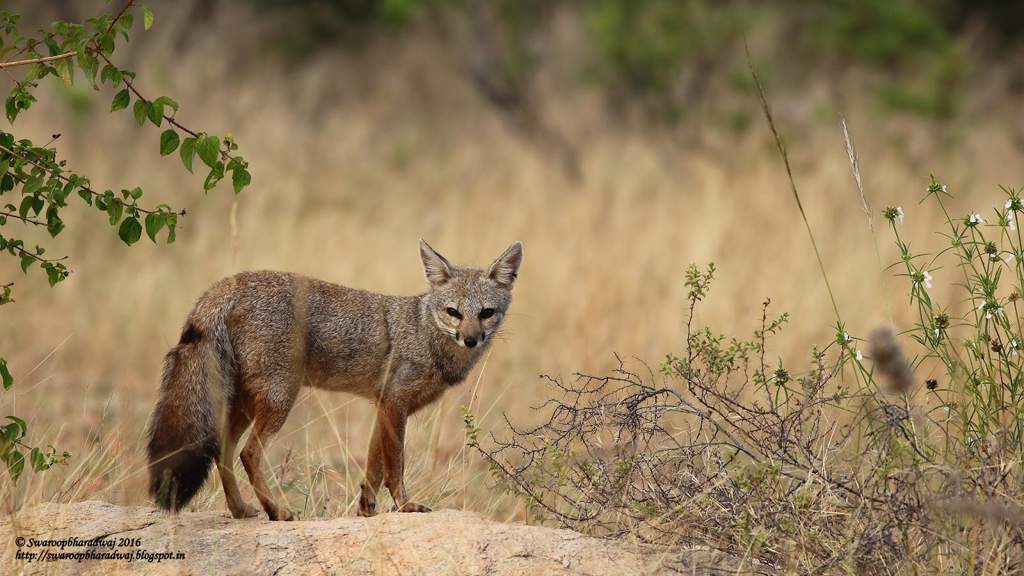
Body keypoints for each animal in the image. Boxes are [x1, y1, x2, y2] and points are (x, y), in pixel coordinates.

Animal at [148, 239, 524, 518]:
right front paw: (405, 506)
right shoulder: (395, 404)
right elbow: (395, 466)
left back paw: (242, 510)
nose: (472, 340)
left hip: (244, 404)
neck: (425, 334)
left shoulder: (382, 406)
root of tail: (230, 283)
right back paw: (276, 511)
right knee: (248, 454)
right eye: (453, 313)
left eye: (486, 313)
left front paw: (367, 510)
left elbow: (373, 467)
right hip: (279, 399)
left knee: (223, 451)